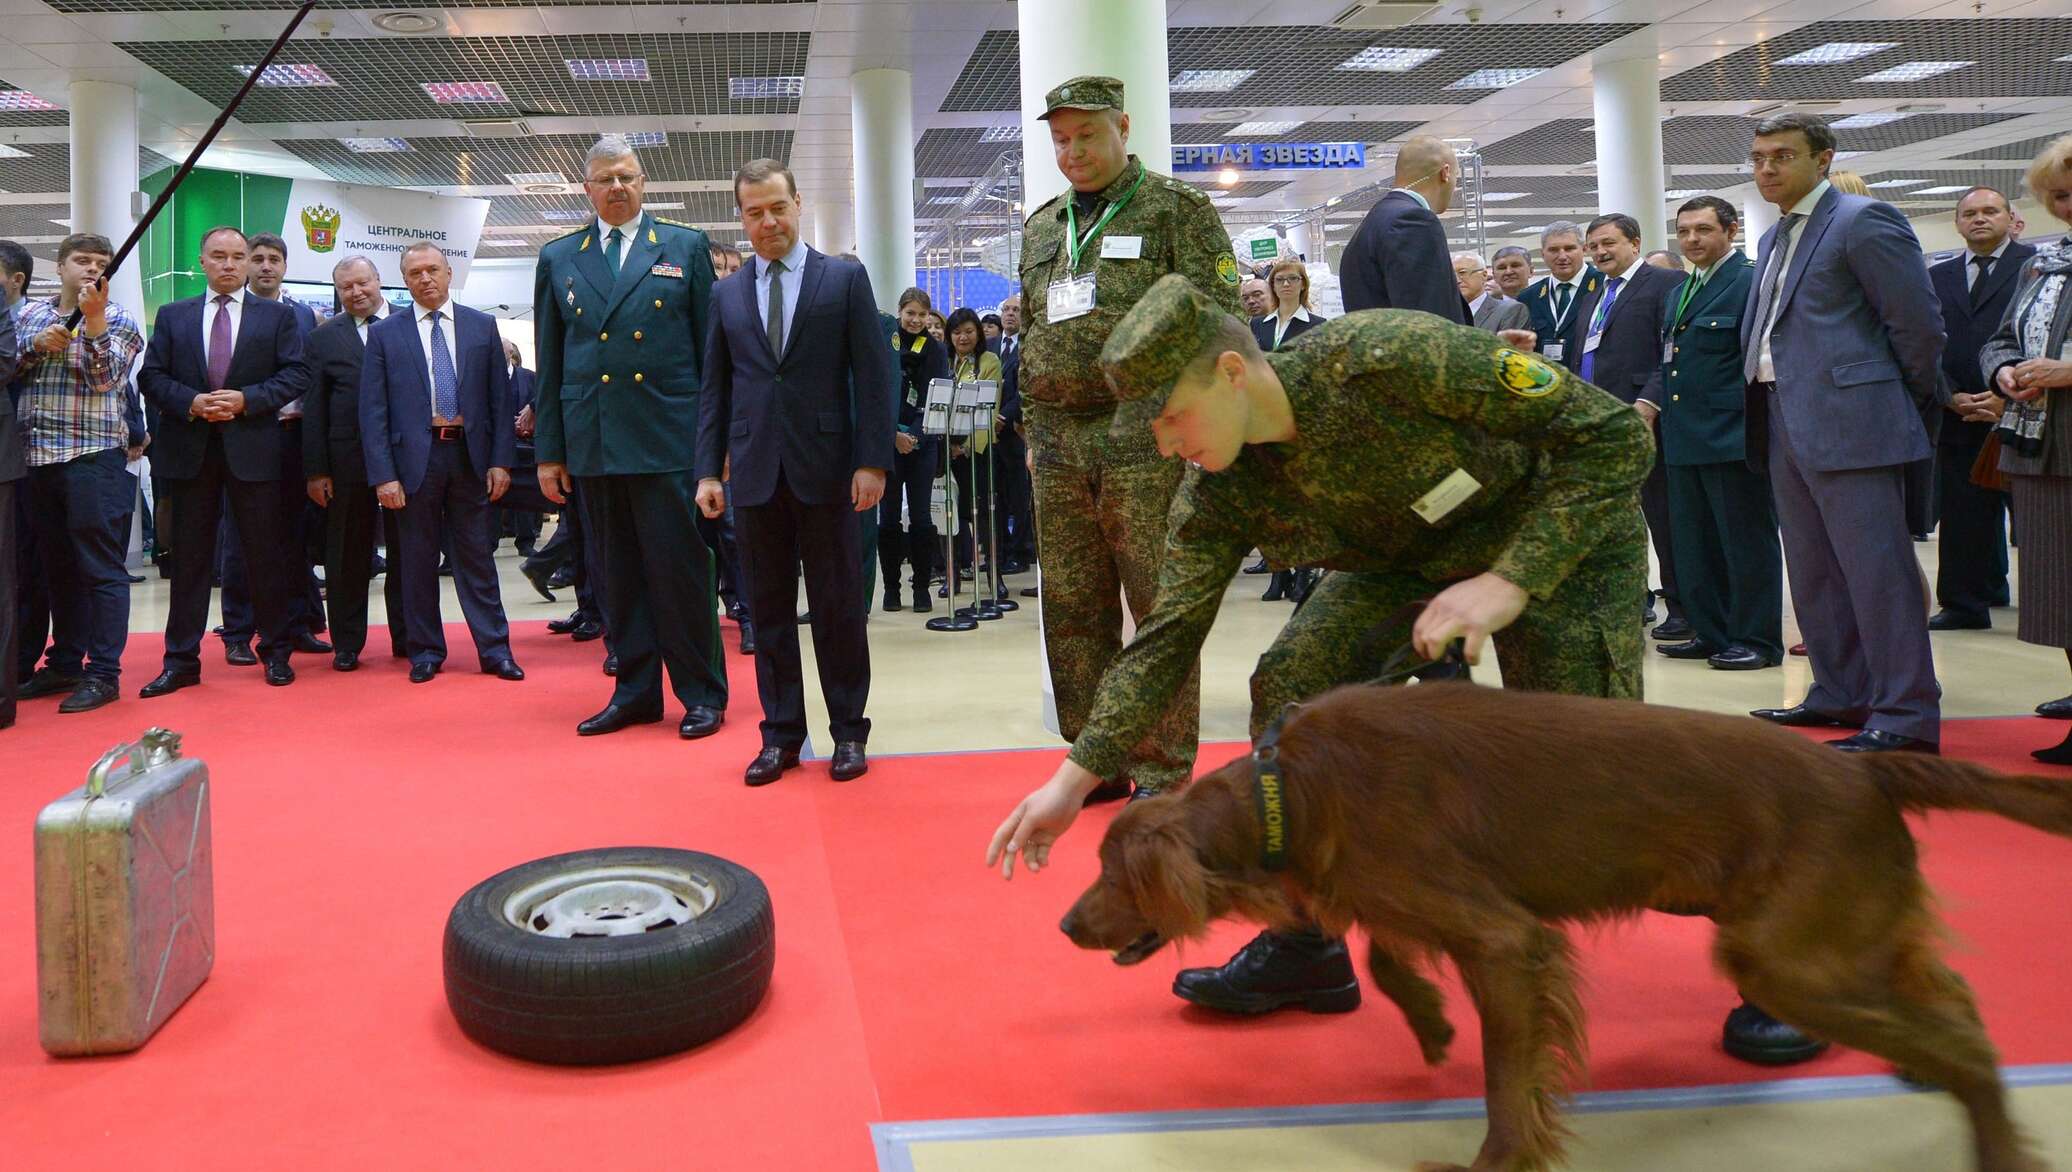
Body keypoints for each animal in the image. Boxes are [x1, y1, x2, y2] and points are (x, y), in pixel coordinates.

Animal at [1060, 683, 2063, 1172]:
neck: (1292, 790)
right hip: (1841, 942)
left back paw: (1998, 1146)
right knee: (1954, 999)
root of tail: (1866, 770)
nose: (1067, 924)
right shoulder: (1420, 901)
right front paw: (1432, 1024)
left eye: (1110, 874)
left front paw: (1496, 1161)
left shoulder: (1508, 941)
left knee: (1969, 1050)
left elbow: (1509, 1079)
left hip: (1784, 961)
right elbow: (1384, 956)